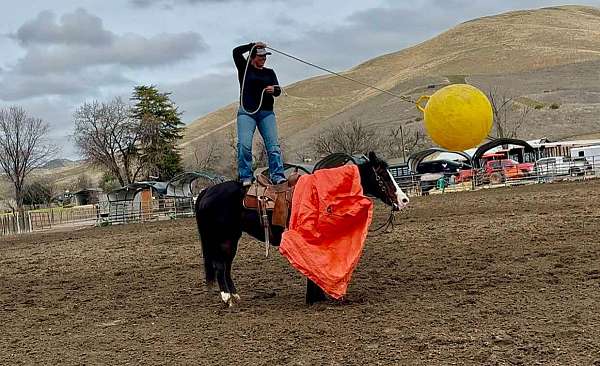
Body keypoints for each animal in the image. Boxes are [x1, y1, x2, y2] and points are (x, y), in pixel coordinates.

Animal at [195, 151, 410, 306]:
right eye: (382, 175)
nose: (404, 200)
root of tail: (207, 191)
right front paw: (314, 298)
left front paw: (319, 296)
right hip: (221, 237)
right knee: (220, 265)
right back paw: (227, 298)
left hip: (232, 239)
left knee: (227, 266)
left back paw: (235, 296)